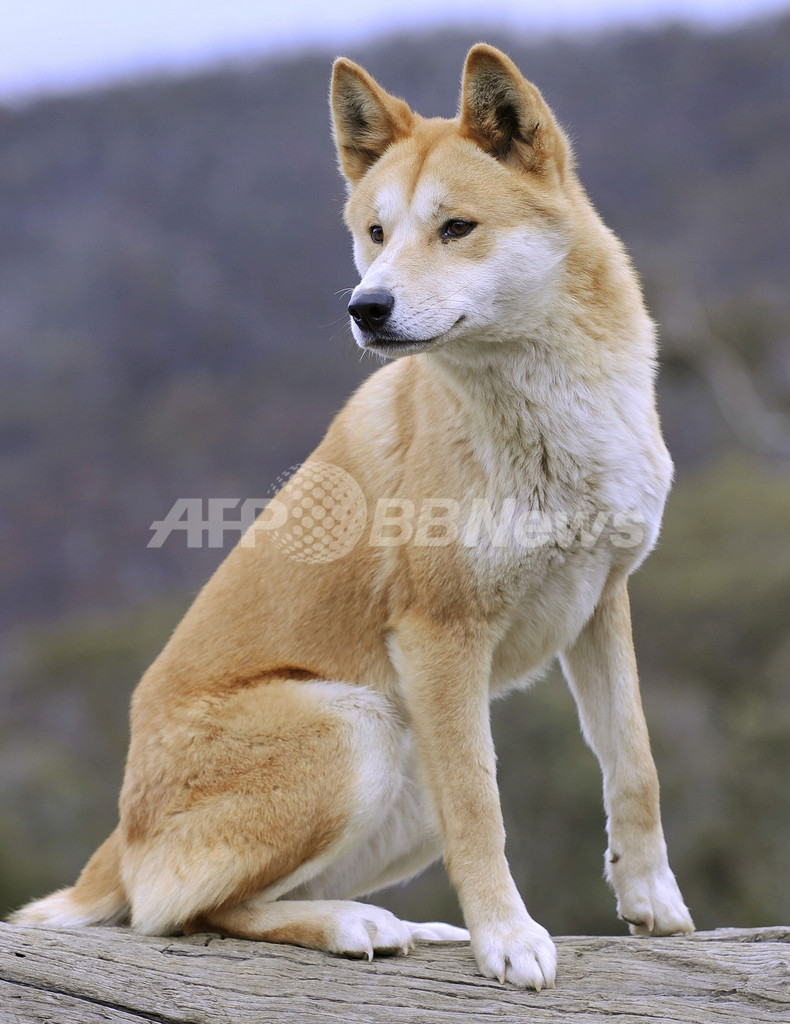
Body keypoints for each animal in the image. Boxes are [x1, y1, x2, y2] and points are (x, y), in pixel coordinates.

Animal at [12, 44, 692, 987]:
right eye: (375, 233)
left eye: (456, 228)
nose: (365, 307)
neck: (544, 416)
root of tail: (119, 837)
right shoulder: (441, 635)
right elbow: (482, 813)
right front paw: (507, 938)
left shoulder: (601, 603)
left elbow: (634, 765)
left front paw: (652, 901)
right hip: (358, 726)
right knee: (183, 914)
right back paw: (353, 924)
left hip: (404, 772)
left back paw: (414, 925)